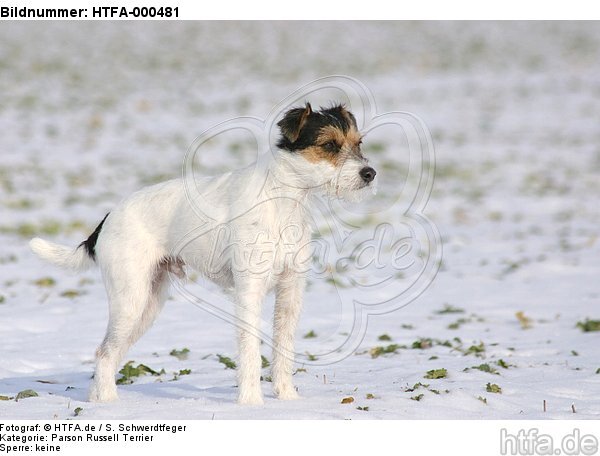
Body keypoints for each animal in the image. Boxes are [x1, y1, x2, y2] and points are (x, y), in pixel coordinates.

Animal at [29, 101, 376, 404]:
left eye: (358, 143)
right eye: (329, 145)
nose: (369, 173)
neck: (283, 200)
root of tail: (108, 218)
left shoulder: (290, 291)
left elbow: (283, 348)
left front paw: (287, 397)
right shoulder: (249, 291)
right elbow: (250, 351)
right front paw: (251, 403)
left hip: (148, 304)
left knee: (109, 353)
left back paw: (100, 402)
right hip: (130, 300)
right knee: (103, 353)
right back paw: (110, 405)